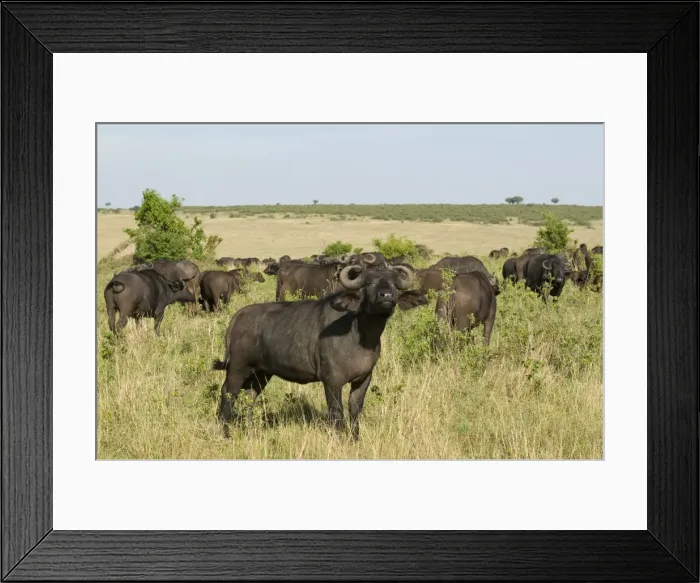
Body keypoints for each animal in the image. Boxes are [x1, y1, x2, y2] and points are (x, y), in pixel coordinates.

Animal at [212, 263, 428, 439]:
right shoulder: (332, 381)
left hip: (262, 373)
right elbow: (336, 411)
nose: (386, 297)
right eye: (368, 283)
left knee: (250, 396)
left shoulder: (363, 379)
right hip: (237, 369)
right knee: (228, 393)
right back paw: (225, 432)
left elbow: (355, 410)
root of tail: (238, 317)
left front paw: (355, 439)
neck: (360, 334)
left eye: (393, 283)